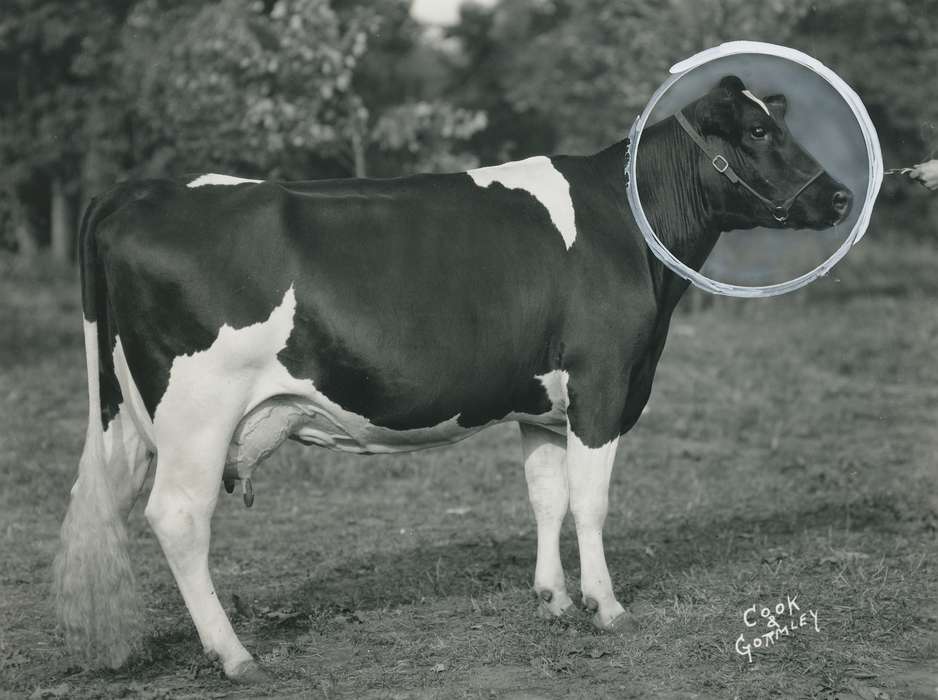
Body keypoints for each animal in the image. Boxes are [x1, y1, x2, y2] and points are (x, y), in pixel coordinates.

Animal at [53, 75, 852, 682]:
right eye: (757, 132)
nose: (842, 197)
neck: (627, 229)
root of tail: (138, 191)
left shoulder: (543, 402)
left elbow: (547, 497)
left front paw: (554, 599)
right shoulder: (603, 382)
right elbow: (591, 503)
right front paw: (607, 606)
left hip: (127, 415)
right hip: (197, 411)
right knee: (177, 518)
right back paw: (235, 655)